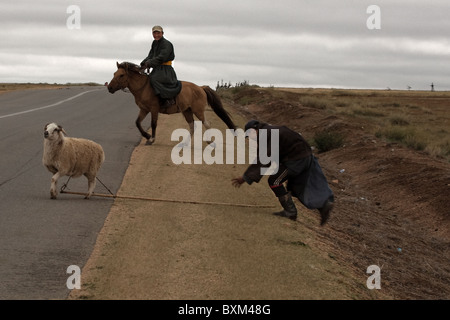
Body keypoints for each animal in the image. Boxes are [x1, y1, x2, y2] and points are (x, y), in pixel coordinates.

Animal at [107, 61, 237, 144]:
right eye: (114, 74)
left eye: (121, 75)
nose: (109, 88)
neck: (143, 87)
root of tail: (201, 87)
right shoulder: (144, 109)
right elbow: (137, 123)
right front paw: (147, 136)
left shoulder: (153, 109)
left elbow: (153, 124)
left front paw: (151, 139)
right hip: (187, 111)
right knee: (192, 126)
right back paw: (185, 143)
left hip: (198, 110)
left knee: (206, 123)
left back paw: (209, 141)